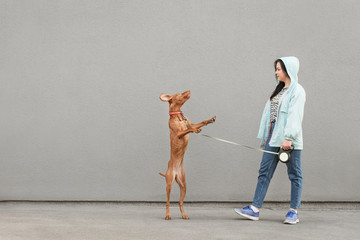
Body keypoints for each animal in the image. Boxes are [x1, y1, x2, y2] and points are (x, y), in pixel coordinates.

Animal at [159, 90, 215, 219]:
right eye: (179, 93)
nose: (189, 90)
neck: (178, 116)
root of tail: (174, 173)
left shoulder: (191, 123)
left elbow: (199, 123)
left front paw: (209, 120)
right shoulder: (179, 133)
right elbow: (187, 130)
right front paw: (194, 131)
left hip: (184, 185)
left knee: (180, 202)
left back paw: (184, 215)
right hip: (169, 184)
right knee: (168, 202)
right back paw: (167, 215)